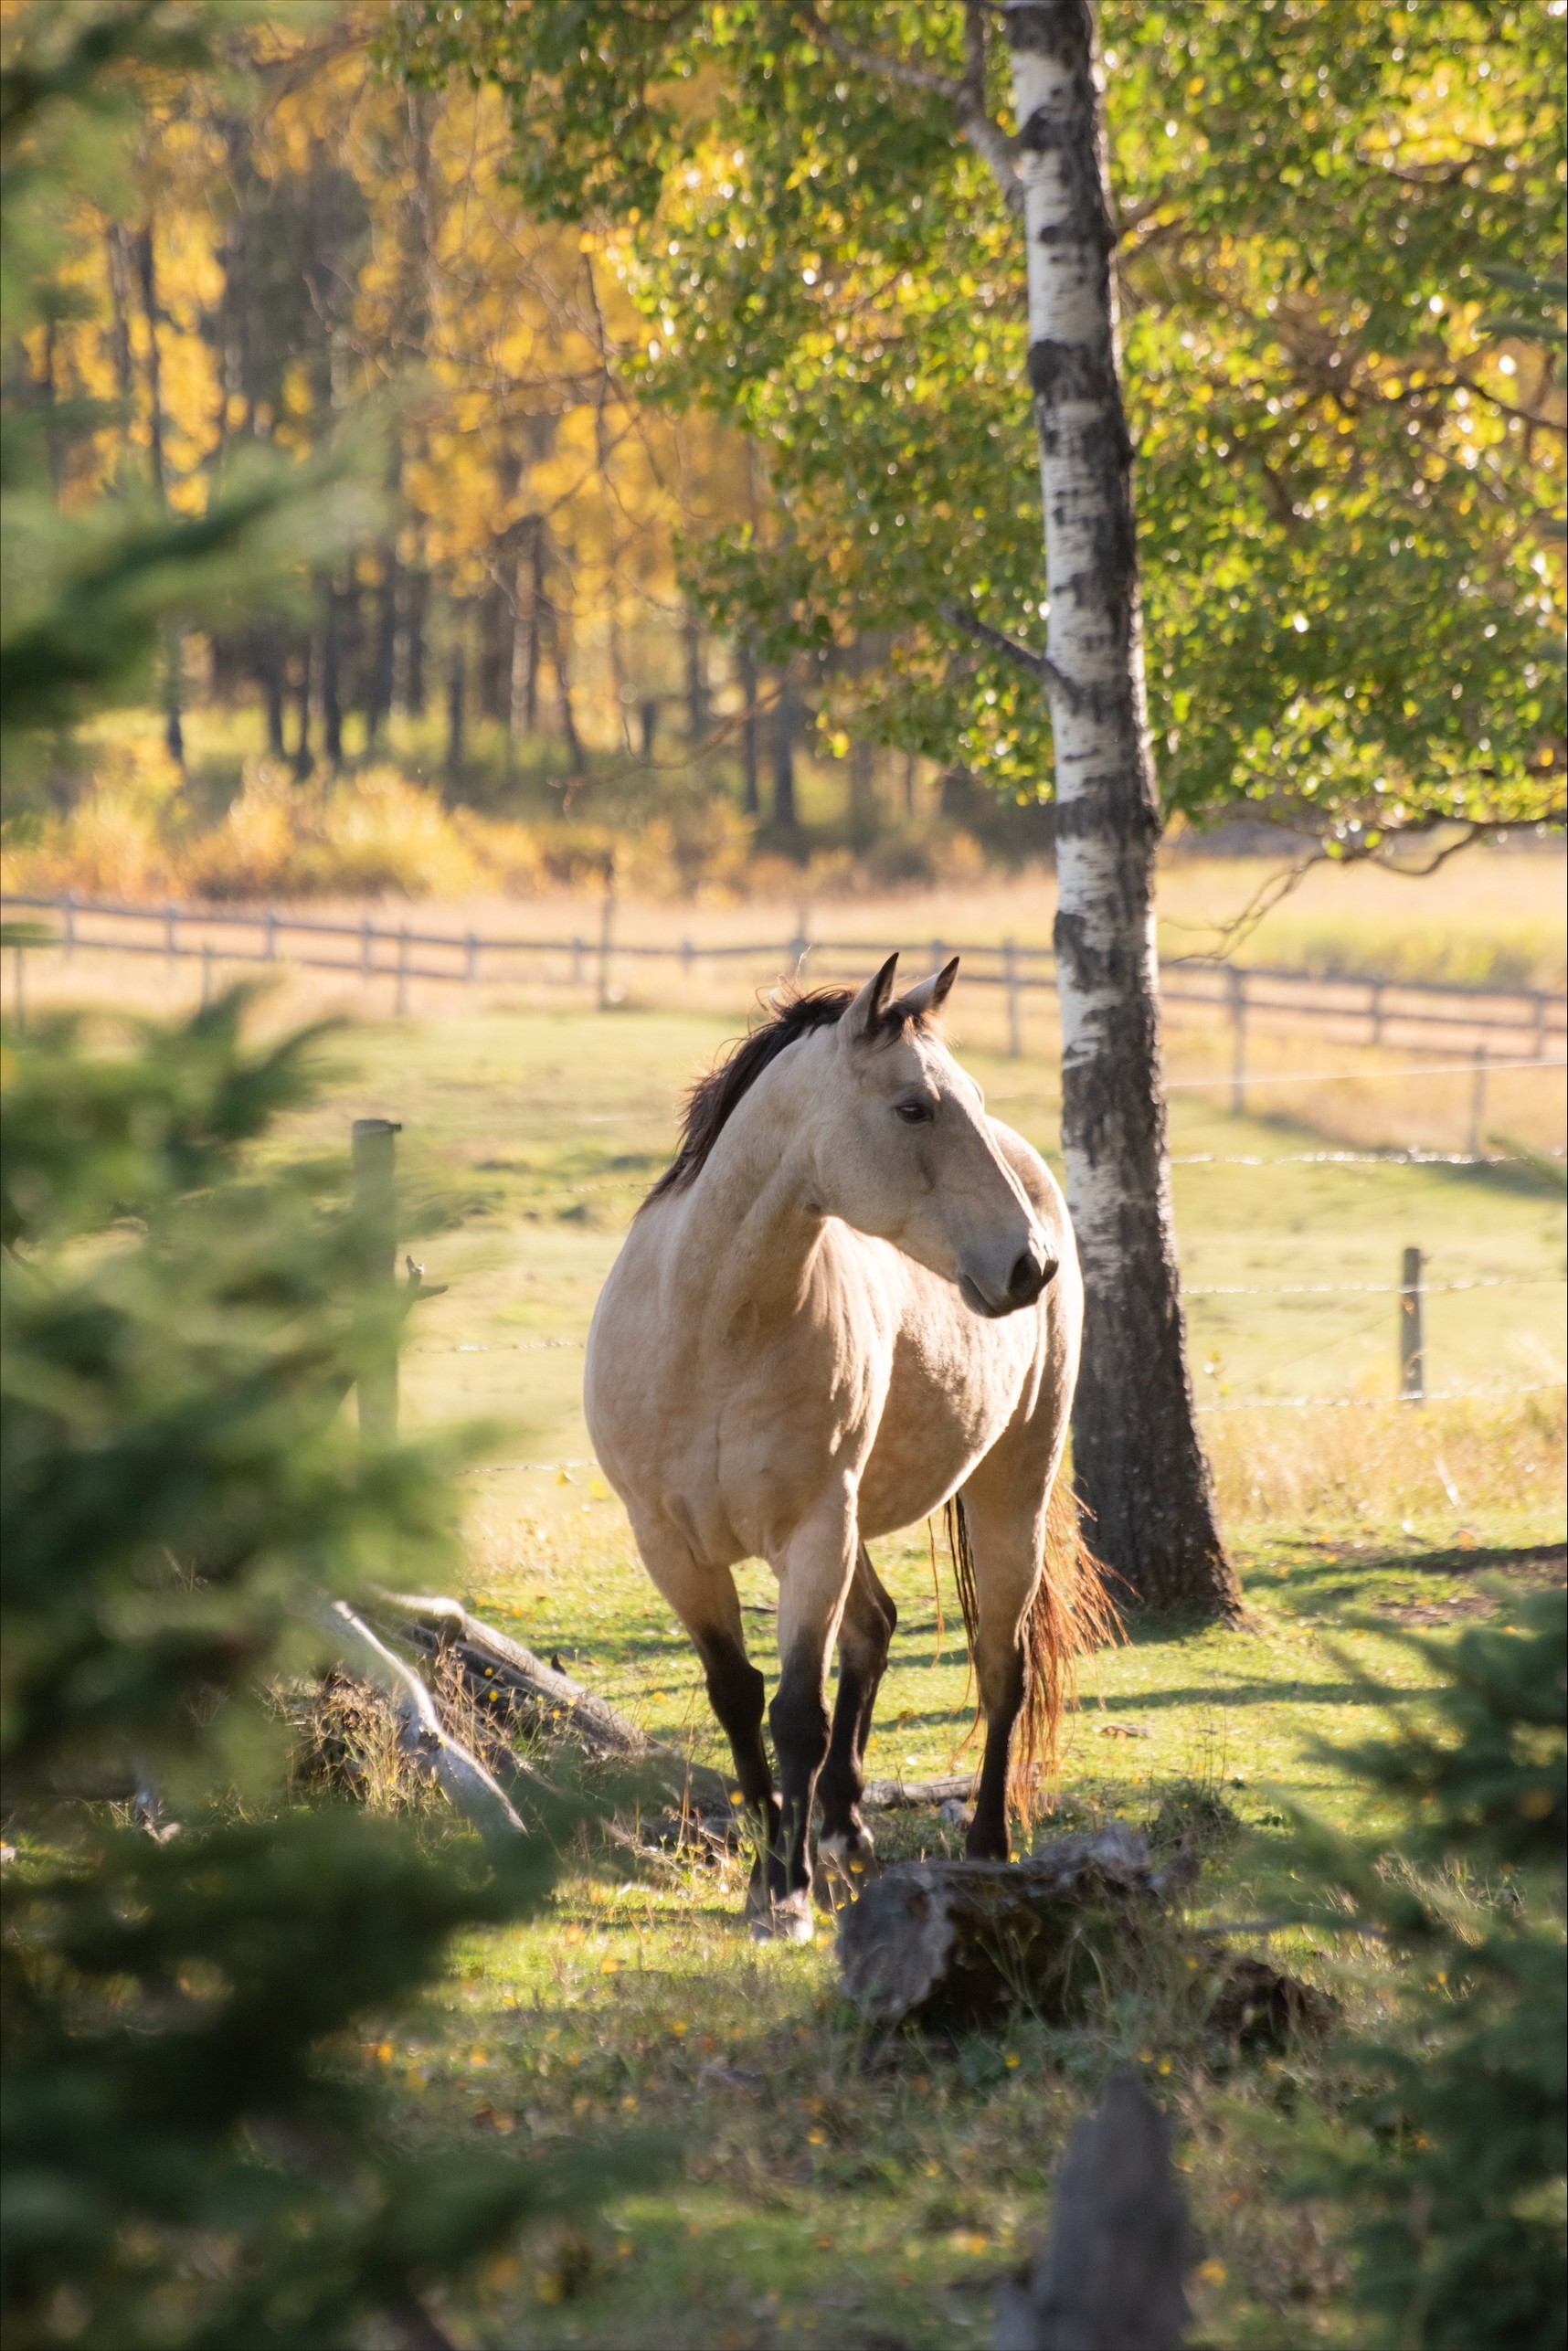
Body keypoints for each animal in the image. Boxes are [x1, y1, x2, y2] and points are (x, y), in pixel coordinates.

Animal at [584, 953, 1112, 1941]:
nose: (1029, 1266)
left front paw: (787, 1895)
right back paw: (843, 1826)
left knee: (1001, 1668)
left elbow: (799, 1711)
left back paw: (985, 1846)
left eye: (964, 1098)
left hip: (1009, 1491)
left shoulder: (813, 1533)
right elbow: (738, 1695)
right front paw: (768, 1870)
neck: (712, 1331)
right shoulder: (671, 1548)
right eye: (914, 1107)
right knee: (876, 1626)